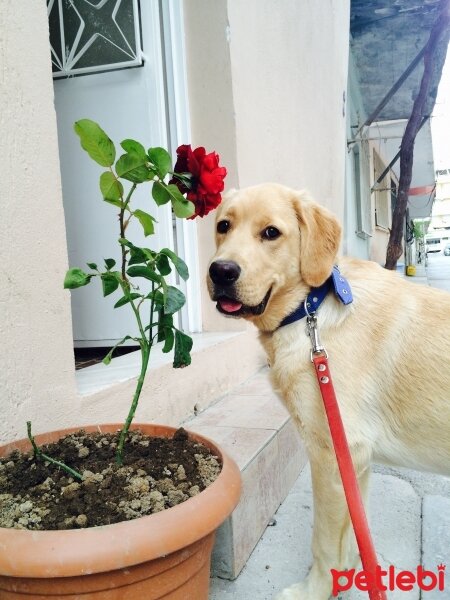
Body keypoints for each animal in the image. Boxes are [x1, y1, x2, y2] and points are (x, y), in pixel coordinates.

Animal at [207, 183, 450, 600]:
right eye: (224, 226)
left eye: (271, 233)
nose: (220, 271)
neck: (310, 310)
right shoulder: (355, 461)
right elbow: (353, 528)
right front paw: (352, 572)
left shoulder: (334, 453)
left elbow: (323, 539)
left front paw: (315, 589)